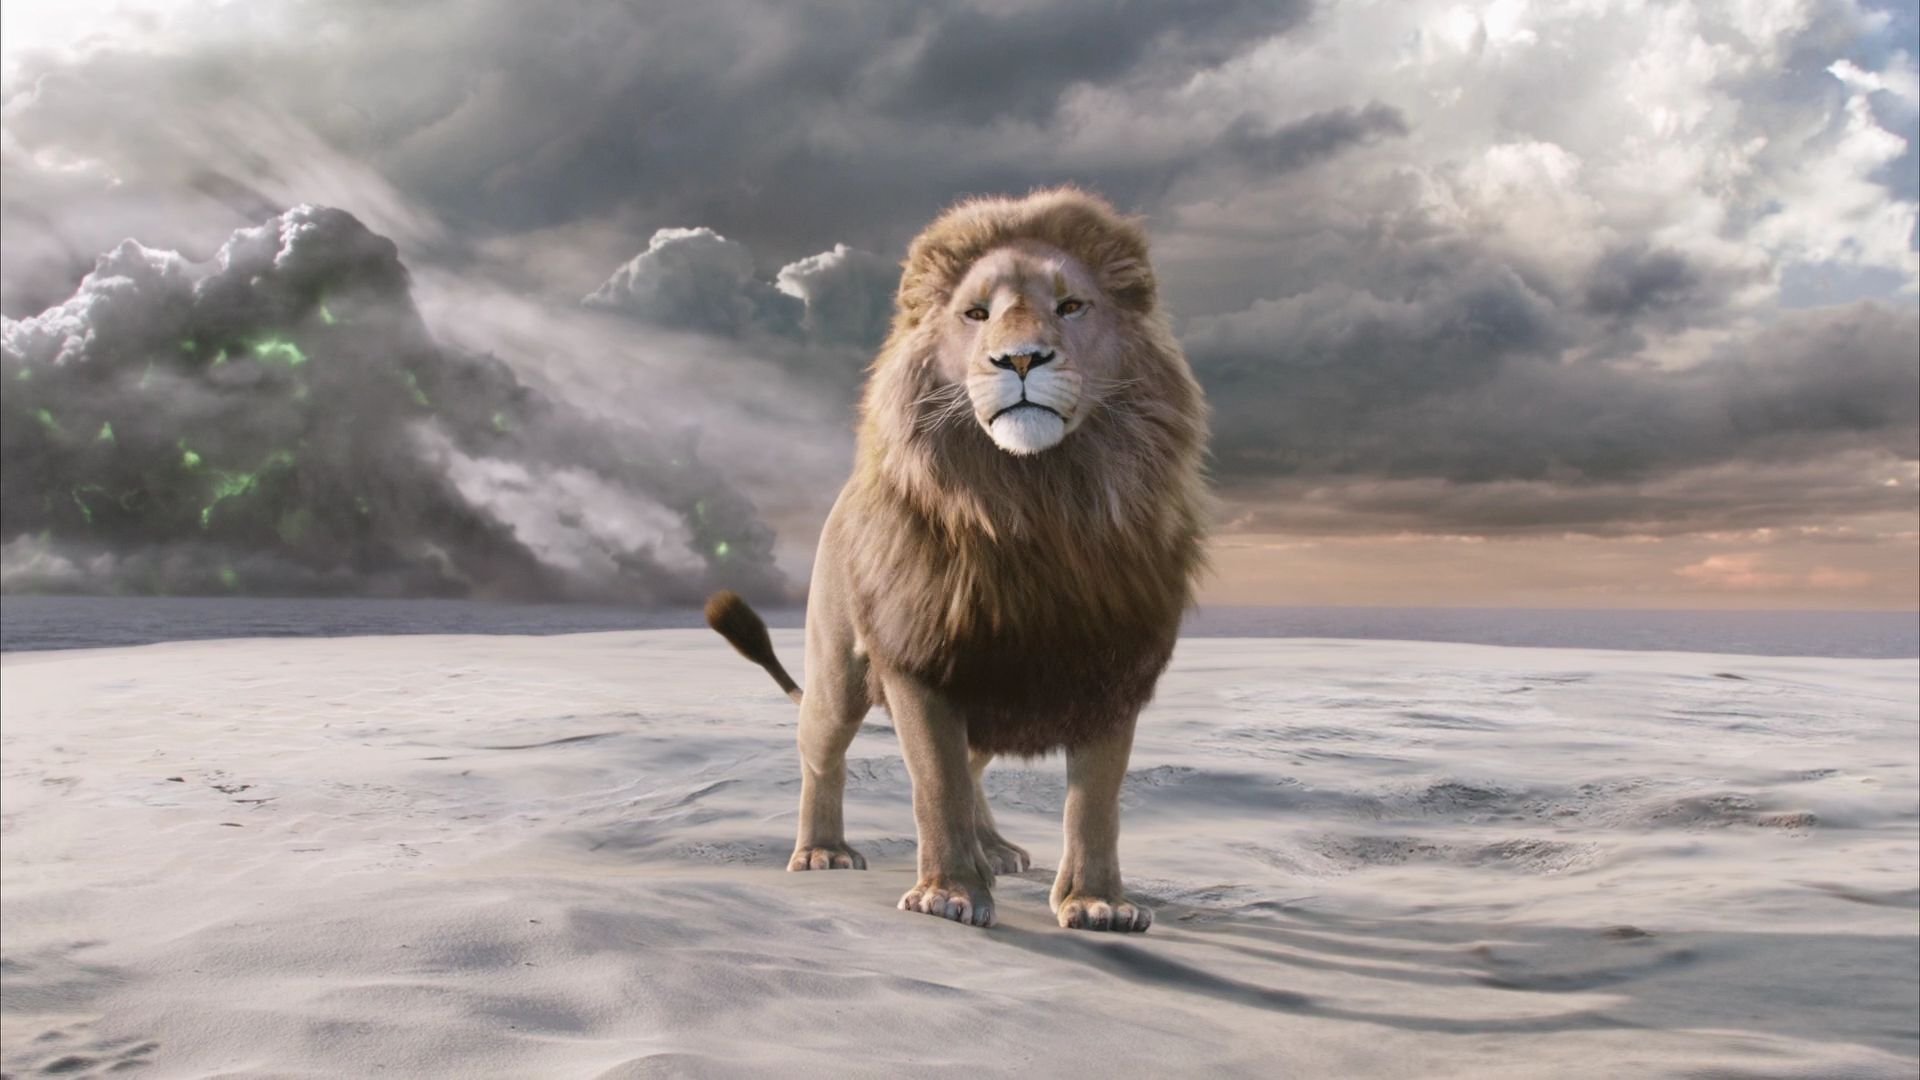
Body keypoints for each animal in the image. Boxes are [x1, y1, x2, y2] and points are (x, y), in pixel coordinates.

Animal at [707, 186, 1209, 931]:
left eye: (1071, 306)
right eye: (976, 315)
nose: (1022, 359)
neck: (1036, 505)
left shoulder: (1113, 665)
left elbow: (1095, 802)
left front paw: (1097, 903)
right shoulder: (921, 659)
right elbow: (935, 784)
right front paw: (950, 895)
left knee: (974, 766)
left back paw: (995, 848)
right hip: (837, 676)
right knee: (823, 755)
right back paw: (824, 851)